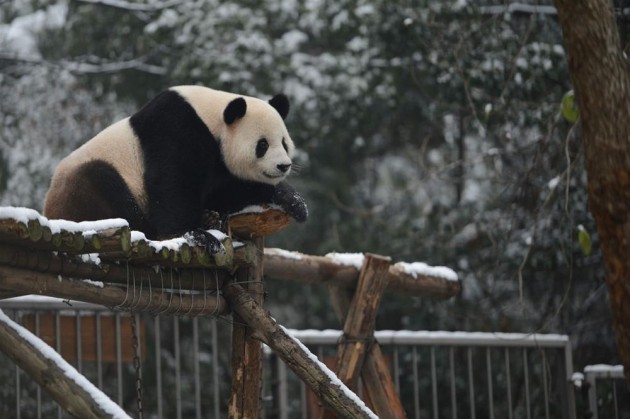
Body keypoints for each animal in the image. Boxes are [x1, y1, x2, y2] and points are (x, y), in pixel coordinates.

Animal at [43, 85, 310, 249]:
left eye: (284, 143)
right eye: (262, 144)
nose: (283, 165)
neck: (212, 118)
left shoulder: (218, 164)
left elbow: (228, 191)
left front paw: (294, 202)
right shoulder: (173, 131)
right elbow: (171, 185)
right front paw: (195, 235)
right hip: (88, 182)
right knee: (109, 191)